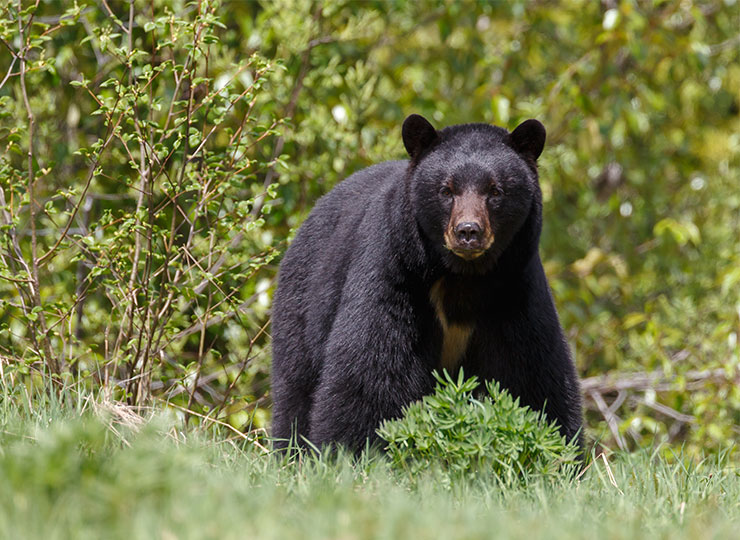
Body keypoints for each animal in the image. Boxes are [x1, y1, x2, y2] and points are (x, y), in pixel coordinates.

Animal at [268, 113, 580, 452]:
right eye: (446, 190)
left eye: (495, 191)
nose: (468, 231)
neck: (462, 277)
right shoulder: (395, 273)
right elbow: (372, 370)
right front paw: (351, 450)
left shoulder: (514, 289)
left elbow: (532, 373)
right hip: (303, 302)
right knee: (295, 386)